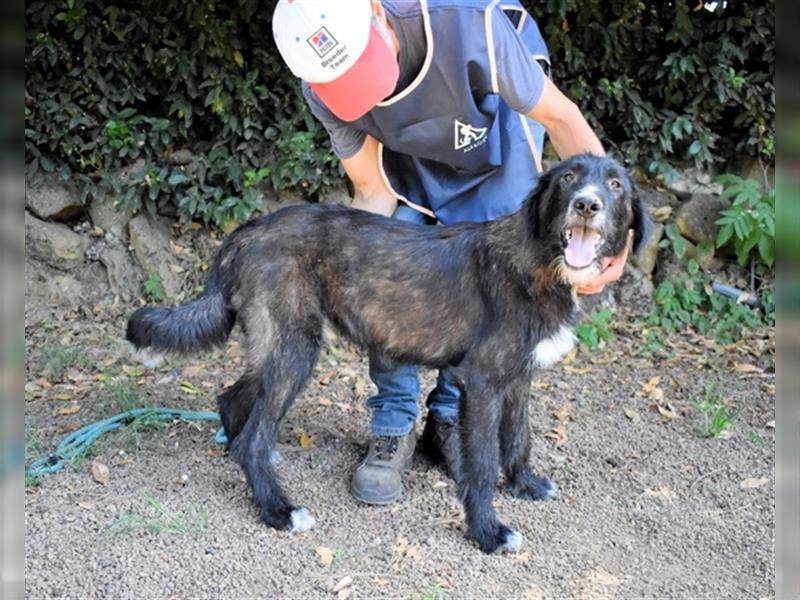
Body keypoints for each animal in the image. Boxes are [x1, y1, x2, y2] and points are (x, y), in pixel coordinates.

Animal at [125, 154, 648, 552]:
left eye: (616, 184)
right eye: (568, 178)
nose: (587, 204)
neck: (539, 261)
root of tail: (249, 229)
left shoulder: (518, 376)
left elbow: (519, 436)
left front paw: (524, 484)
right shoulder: (482, 380)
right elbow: (482, 464)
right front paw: (487, 531)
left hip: (276, 345)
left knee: (234, 400)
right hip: (296, 348)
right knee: (252, 432)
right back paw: (277, 509)